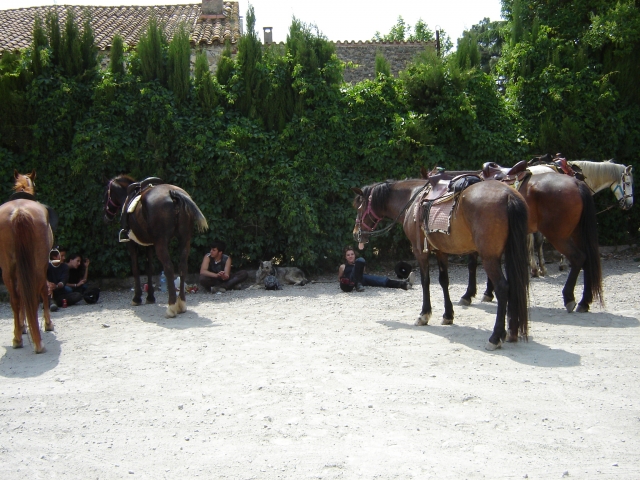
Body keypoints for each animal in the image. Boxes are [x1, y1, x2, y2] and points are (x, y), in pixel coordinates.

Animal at [0, 173, 54, 353]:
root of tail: (19, 211)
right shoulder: (42, 266)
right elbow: (43, 290)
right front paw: (48, 324)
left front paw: (23, 326)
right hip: (36, 266)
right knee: (34, 294)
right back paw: (37, 341)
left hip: (7, 269)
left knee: (16, 298)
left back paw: (18, 338)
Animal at [103, 175, 208, 317]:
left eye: (106, 195)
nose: (106, 216)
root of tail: (173, 195)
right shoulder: (150, 245)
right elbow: (149, 268)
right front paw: (150, 297)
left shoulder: (132, 243)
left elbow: (136, 268)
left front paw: (137, 298)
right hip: (184, 240)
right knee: (182, 267)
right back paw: (181, 303)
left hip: (161, 243)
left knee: (169, 268)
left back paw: (171, 306)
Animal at [352, 178, 530, 350]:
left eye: (359, 208)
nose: (355, 233)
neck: (412, 200)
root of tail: (509, 195)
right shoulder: (440, 251)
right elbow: (444, 281)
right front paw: (448, 315)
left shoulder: (420, 251)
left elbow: (425, 282)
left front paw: (424, 315)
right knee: (515, 285)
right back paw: (511, 332)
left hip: (490, 258)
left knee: (502, 288)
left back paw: (495, 337)